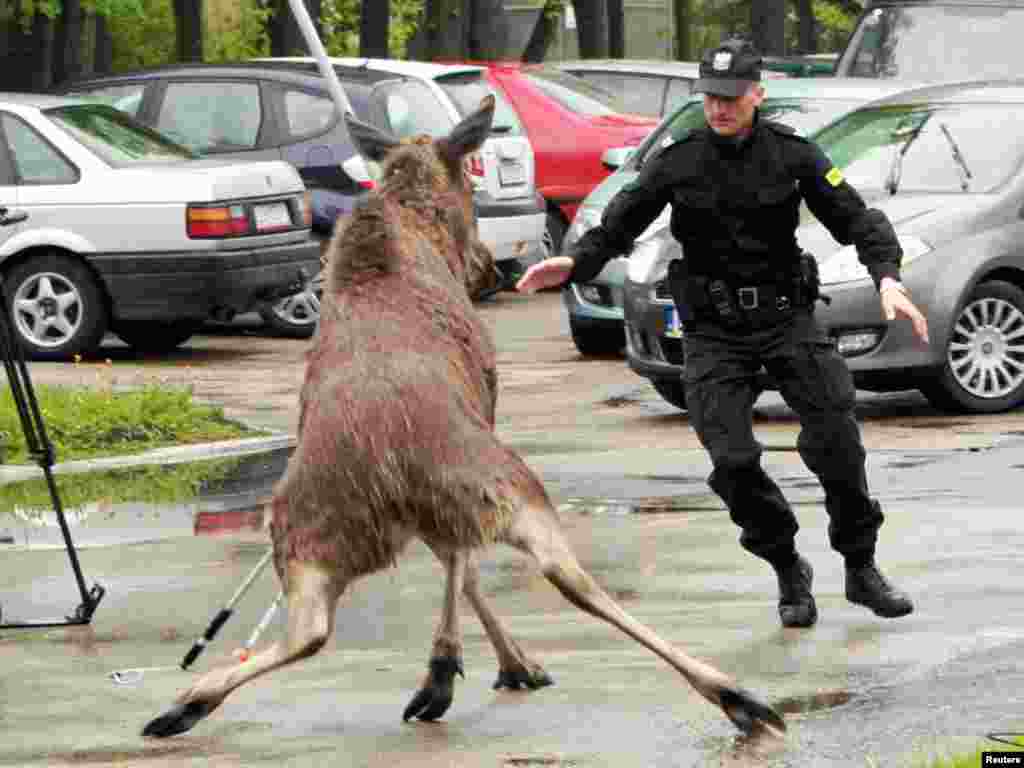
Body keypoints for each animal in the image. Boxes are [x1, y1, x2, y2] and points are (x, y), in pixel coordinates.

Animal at [142, 94, 782, 741]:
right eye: (470, 188)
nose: (491, 269)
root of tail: (385, 464)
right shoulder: (487, 408)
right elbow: (466, 565)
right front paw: (482, 666)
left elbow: (461, 568)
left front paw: (468, 667)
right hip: (502, 484)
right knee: (566, 575)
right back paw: (736, 695)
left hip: (311, 532)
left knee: (310, 629)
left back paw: (185, 702)